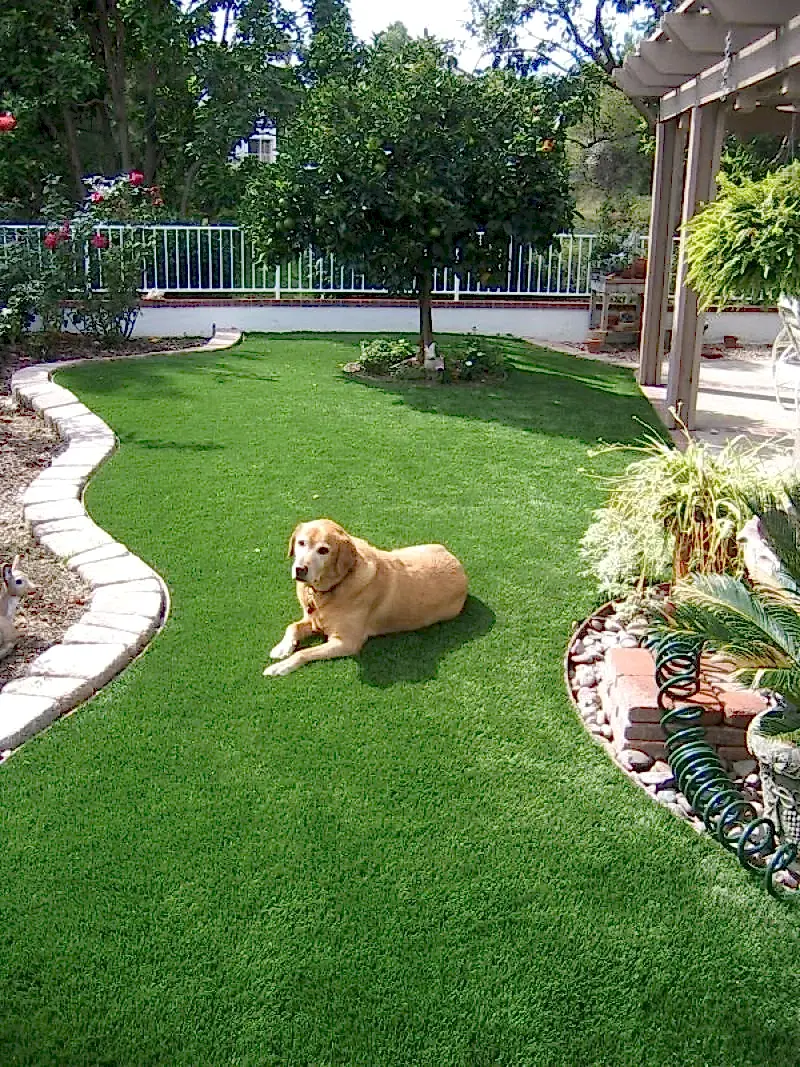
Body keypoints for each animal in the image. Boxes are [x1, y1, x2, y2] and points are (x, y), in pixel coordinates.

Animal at [264, 519, 468, 677]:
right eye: (301, 543)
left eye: (323, 550)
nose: (300, 569)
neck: (335, 586)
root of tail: (458, 564)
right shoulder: (313, 620)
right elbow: (292, 626)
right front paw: (282, 648)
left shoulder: (346, 642)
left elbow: (304, 653)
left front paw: (280, 667)